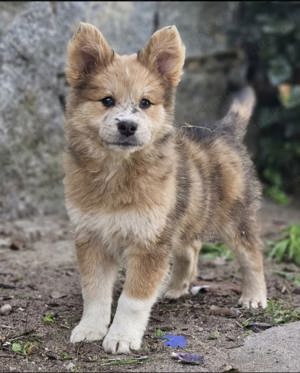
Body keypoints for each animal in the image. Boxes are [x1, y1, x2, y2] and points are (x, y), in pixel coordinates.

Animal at [63, 21, 268, 354]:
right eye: (107, 100)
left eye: (145, 103)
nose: (127, 126)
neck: (118, 174)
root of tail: (224, 131)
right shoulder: (91, 237)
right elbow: (94, 291)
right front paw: (90, 328)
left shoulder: (150, 243)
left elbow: (132, 300)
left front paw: (121, 337)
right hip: (181, 218)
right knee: (191, 248)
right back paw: (174, 288)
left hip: (235, 219)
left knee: (252, 255)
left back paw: (254, 297)